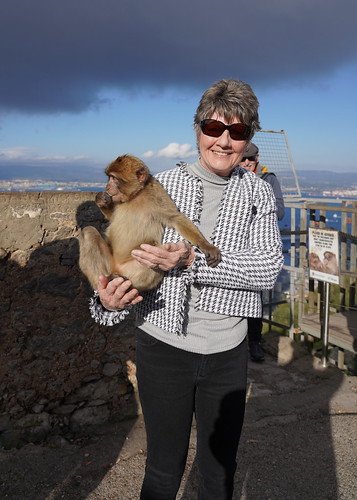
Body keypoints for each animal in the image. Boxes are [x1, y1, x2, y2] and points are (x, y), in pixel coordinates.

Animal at [78, 154, 220, 292]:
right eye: (109, 177)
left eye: (114, 178)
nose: (107, 186)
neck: (136, 195)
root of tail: (117, 268)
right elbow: (112, 218)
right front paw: (102, 200)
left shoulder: (157, 193)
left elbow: (175, 218)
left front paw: (205, 245)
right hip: (109, 263)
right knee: (89, 232)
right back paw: (105, 284)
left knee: (151, 255)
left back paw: (128, 287)